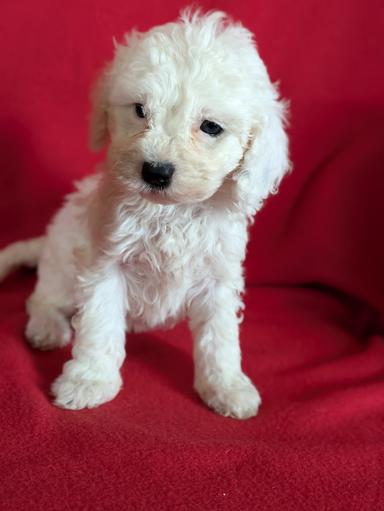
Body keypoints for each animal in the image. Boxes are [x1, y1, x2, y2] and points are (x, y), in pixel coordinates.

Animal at [0, 11, 290, 420]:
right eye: (140, 110)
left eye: (211, 127)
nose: (155, 171)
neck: (170, 213)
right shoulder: (104, 262)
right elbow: (99, 324)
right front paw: (89, 382)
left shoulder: (218, 275)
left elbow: (219, 336)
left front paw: (227, 387)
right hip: (61, 264)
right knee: (42, 299)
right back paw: (46, 328)